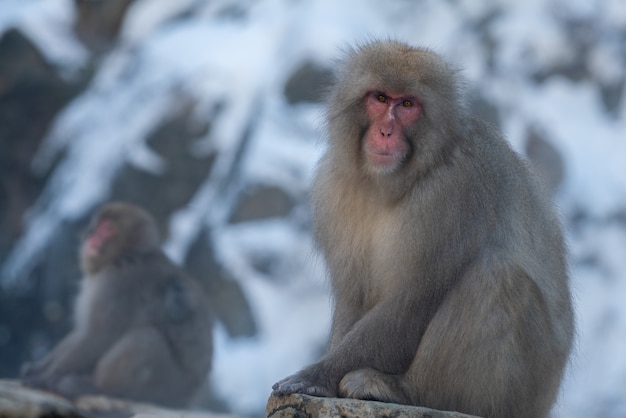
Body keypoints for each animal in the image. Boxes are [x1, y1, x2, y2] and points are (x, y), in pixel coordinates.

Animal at [21, 202, 214, 408]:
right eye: (98, 225)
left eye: (108, 229)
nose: (91, 235)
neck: (125, 256)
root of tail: (187, 400)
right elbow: (82, 333)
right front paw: (39, 368)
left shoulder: (118, 284)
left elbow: (97, 337)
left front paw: (44, 377)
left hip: (165, 387)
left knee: (146, 339)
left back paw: (92, 387)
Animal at [270, 40, 572, 418]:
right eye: (381, 98)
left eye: (408, 104)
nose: (385, 132)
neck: (390, 184)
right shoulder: (333, 190)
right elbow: (353, 295)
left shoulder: (454, 190)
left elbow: (413, 299)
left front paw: (316, 375)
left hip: (522, 392)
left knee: (497, 279)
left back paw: (403, 389)